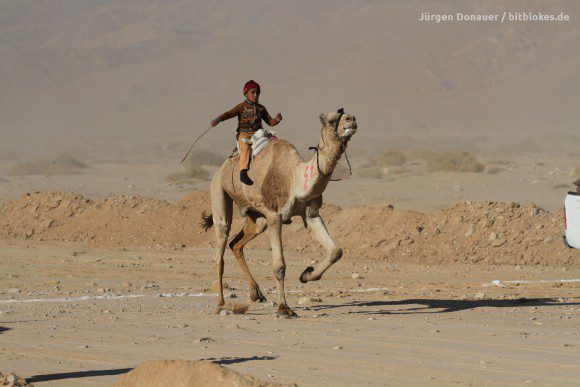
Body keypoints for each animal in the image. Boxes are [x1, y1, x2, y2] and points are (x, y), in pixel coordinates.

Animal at [202, 109, 358, 318]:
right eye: (333, 119)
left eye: (346, 115)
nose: (351, 120)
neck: (295, 179)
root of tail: (222, 167)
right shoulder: (274, 215)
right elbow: (279, 266)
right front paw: (284, 308)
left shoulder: (310, 213)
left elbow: (336, 251)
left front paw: (306, 274)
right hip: (218, 190)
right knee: (221, 245)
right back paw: (221, 304)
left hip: (256, 217)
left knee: (236, 244)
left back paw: (256, 293)